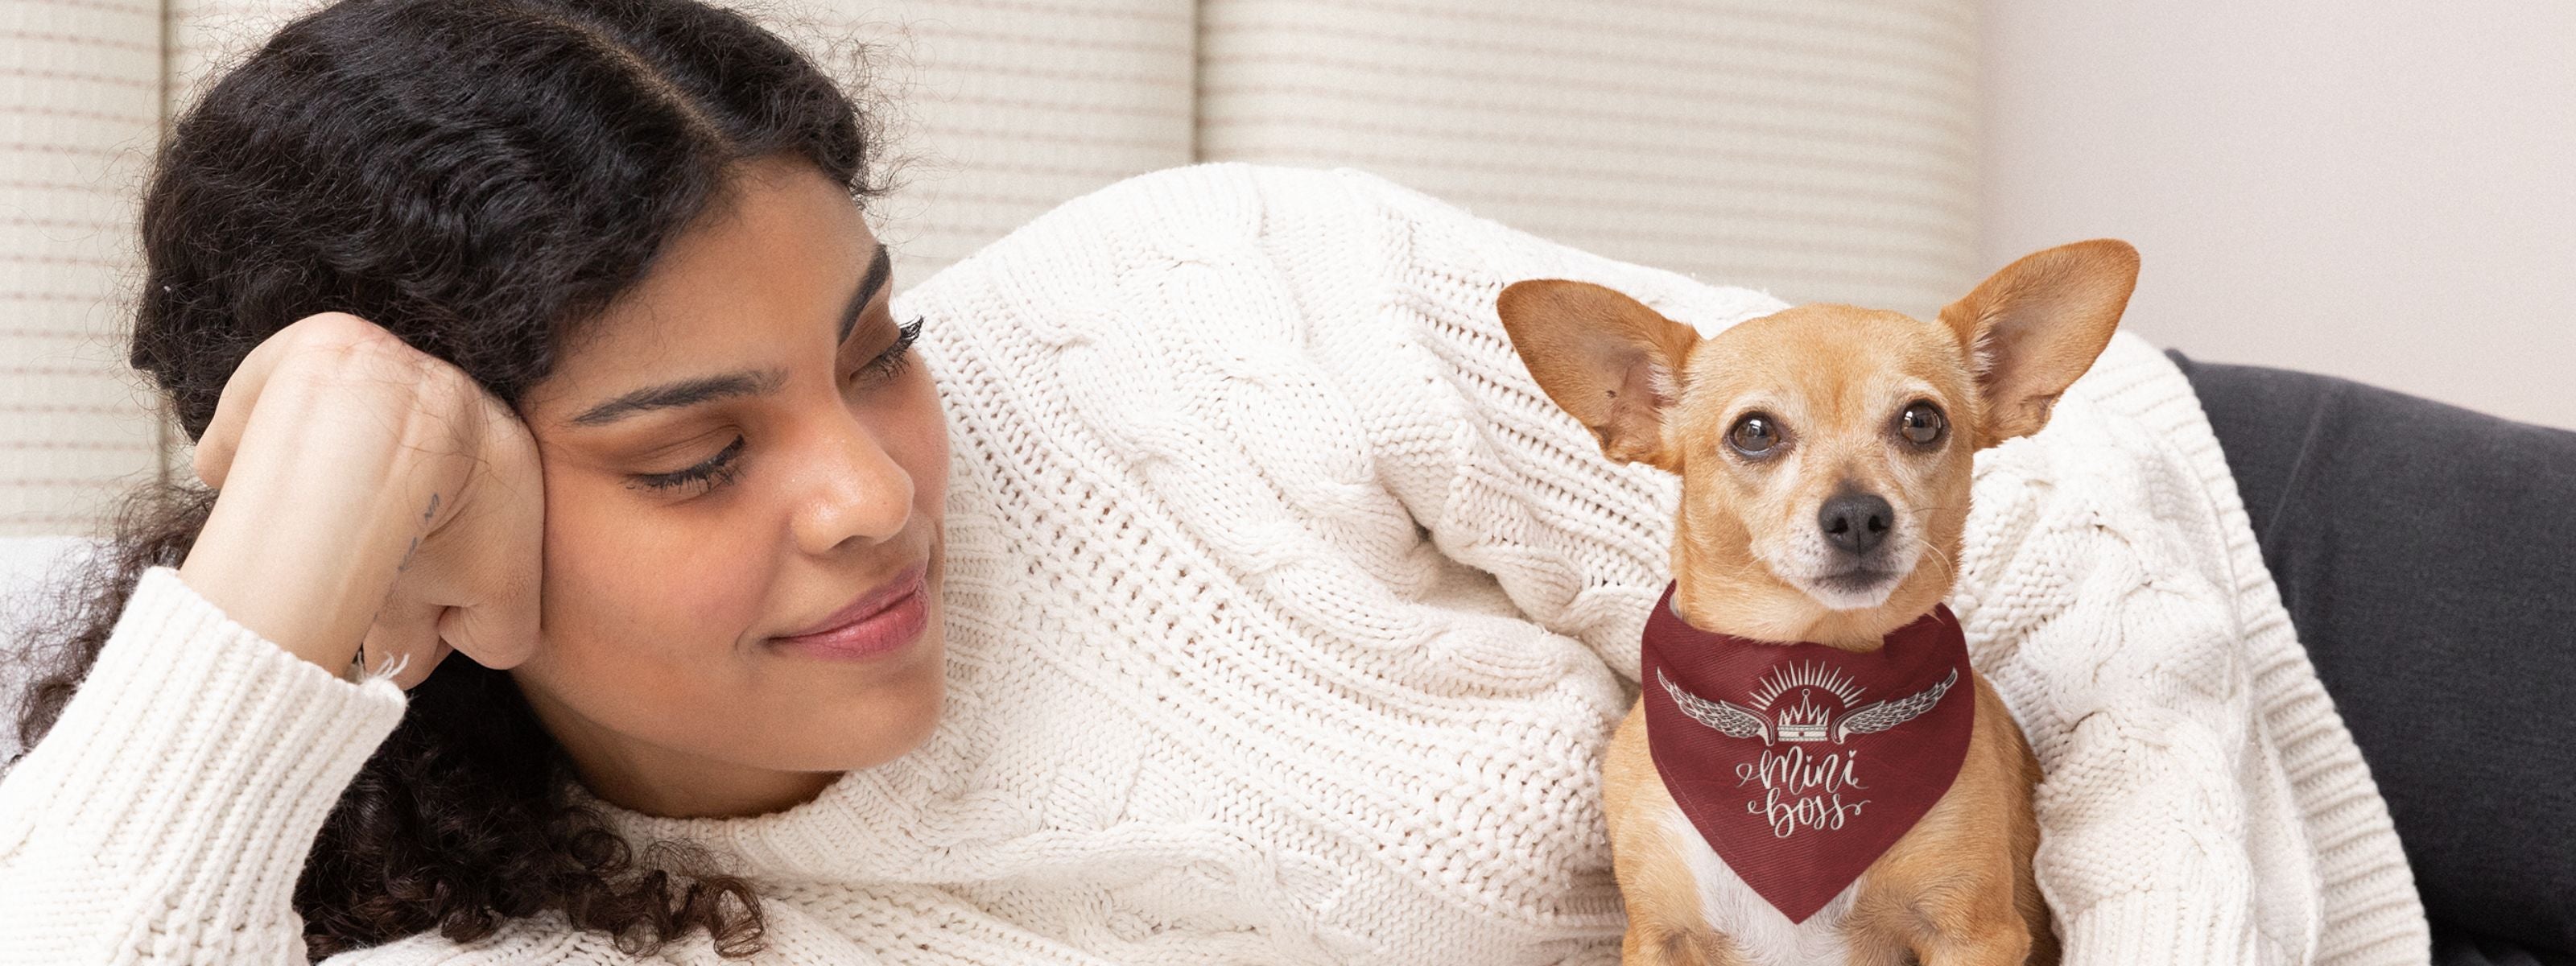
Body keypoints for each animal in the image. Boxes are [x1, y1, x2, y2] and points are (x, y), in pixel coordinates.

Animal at [1494, 242, 2132, 966]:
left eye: (1922, 421)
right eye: (1754, 432)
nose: (1857, 515)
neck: (1814, 651)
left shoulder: (1974, 935)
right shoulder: (1658, 938)